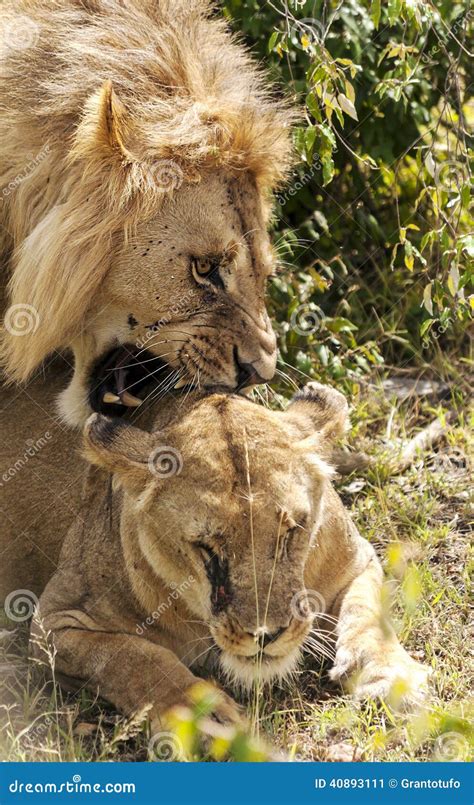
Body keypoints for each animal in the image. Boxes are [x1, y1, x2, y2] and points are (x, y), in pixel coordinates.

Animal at [31, 384, 428, 728]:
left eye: (293, 530)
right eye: (206, 547)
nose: (267, 635)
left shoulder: (355, 562)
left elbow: (368, 617)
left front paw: (392, 679)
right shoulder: (52, 621)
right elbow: (135, 658)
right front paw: (201, 721)